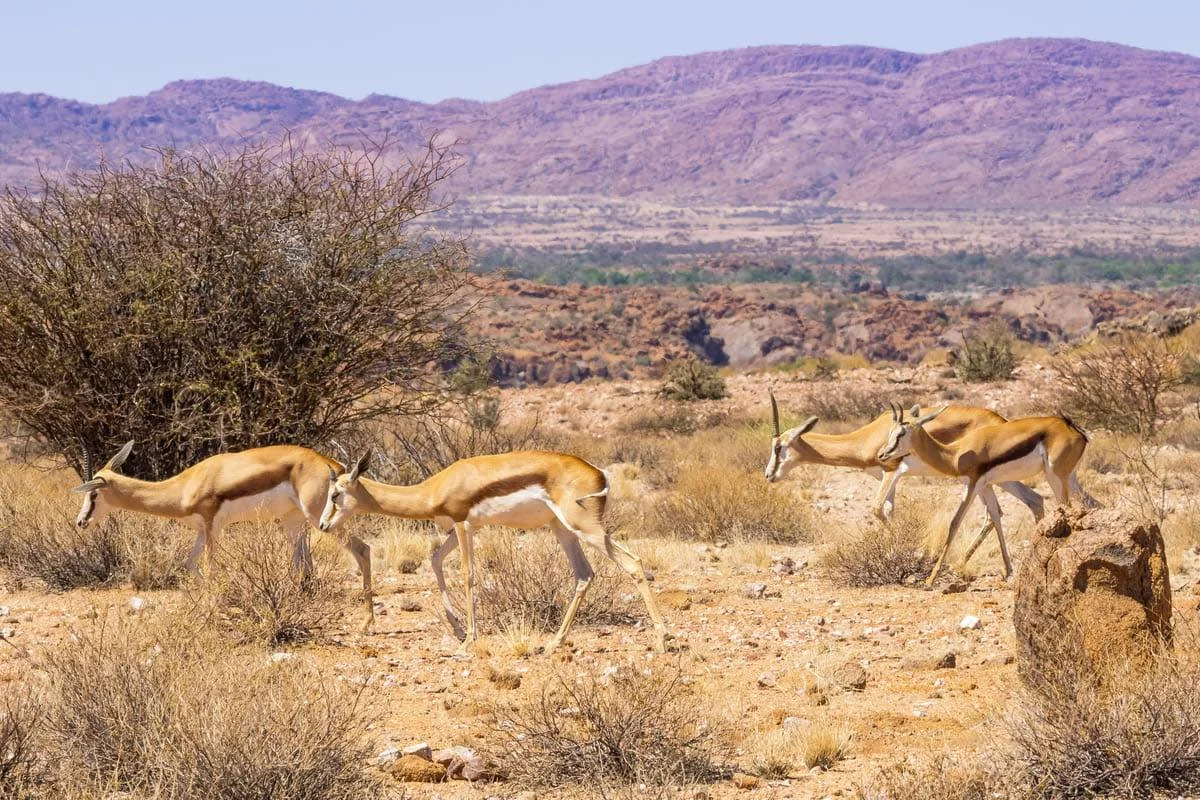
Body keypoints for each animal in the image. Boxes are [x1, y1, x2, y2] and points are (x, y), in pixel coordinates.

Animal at [70, 441, 374, 628]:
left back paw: (367, 622)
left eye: (93, 494)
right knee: (305, 567)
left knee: (362, 549)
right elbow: (190, 565)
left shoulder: (212, 527)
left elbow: (210, 569)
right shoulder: (203, 530)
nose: (81, 521)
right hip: (293, 523)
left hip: (321, 519)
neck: (184, 486)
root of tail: (333, 465)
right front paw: (222, 607)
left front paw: (213, 613)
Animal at [319, 450, 672, 657]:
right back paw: (553, 644)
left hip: (586, 528)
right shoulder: (461, 527)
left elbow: (468, 576)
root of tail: (600, 473)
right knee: (584, 574)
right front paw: (459, 630)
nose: (322, 524)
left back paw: (662, 639)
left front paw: (469, 640)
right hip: (561, 529)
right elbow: (435, 560)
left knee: (633, 563)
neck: (435, 488)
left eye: (335, 494)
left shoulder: (463, 524)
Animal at [763, 393, 1046, 542]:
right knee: (1031, 500)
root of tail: (1001, 420)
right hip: (996, 478)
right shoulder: (885, 477)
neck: (868, 437)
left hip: (983, 479)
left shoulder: (891, 471)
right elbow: (889, 510)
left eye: (778, 447)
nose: (768, 475)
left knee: (998, 511)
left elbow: (877, 509)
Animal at [878, 410, 1094, 585]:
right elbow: (996, 517)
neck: (955, 454)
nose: (882, 455)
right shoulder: (986, 486)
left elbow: (955, 523)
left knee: (1065, 509)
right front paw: (1008, 570)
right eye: (890, 432)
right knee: (1090, 505)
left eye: (901, 433)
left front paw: (930, 580)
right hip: (1068, 479)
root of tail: (1073, 429)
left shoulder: (972, 485)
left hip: (1055, 477)